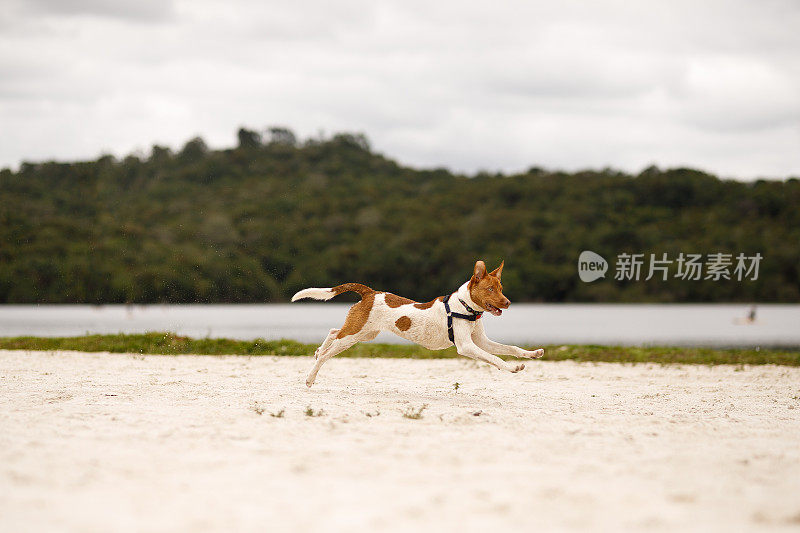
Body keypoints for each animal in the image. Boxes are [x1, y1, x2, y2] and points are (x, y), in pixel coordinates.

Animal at [290, 260, 548, 384]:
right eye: (490, 289)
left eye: (501, 288)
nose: (508, 302)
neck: (465, 308)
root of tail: (370, 292)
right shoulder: (467, 346)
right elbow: (494, 358)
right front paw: (512, 368)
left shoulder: (481, 341)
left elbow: (510, 348)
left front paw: (532, 354)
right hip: (355, 334)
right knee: (328, 353)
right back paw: (311, 376)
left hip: (363, 332)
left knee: (334, 331)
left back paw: (317, 350)